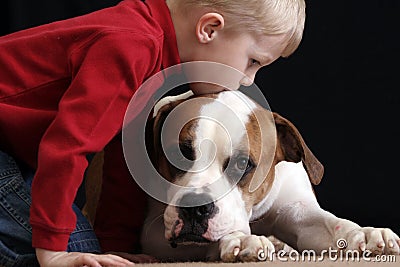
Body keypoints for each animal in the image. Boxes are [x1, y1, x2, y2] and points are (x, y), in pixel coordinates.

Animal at [139, 91, 398, 262]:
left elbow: (332, 222)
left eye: (243, 164)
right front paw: (242, 240)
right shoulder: (155, 237)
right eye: (177, 154)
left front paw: (364, 232)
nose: (195, 207)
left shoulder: (299, 212)